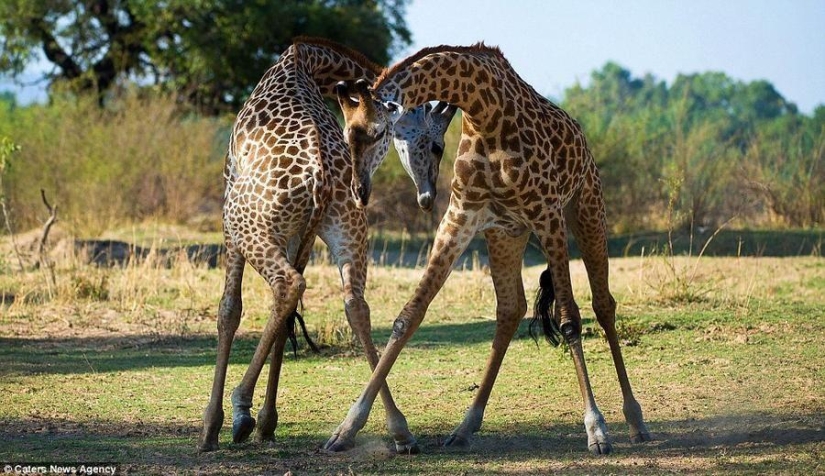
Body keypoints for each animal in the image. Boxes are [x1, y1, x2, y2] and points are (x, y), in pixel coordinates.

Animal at [197, 37, 456, 453]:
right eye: (435, 145)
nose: (428, 195)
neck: (306, 60)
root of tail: (321, 177)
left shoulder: (227, 198)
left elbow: (229, 310)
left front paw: (215, 425)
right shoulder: (299, 235)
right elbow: (287, 319)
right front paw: (268, 422)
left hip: (242, 221)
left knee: (288, 285)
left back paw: (240, 407)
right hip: (347, 229)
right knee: (354, 304)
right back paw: (398, 429)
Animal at [323, 43, 651, 455]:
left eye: (380, 131)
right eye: (347, 134)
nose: (359, 191)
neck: (484, 111)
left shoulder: (548, 214)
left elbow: (569, 320)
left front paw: (596, 429)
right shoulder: (461, 214)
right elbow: (408, 316)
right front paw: (348, 428)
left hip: (586, 208)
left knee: (603, 304)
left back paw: (636, 421)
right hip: (507, 234)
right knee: (511, 310)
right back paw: (465, 427)